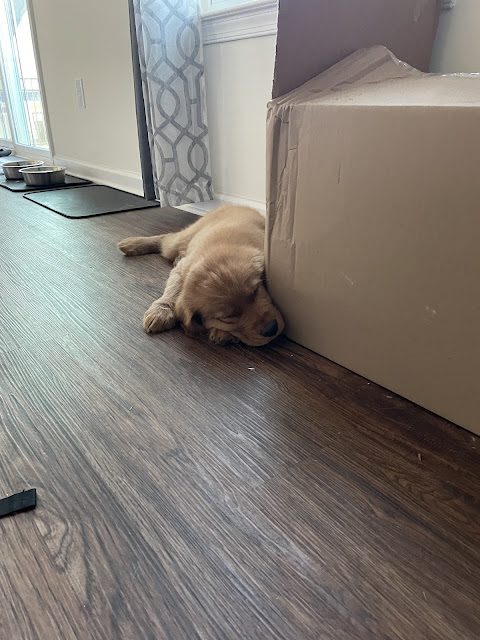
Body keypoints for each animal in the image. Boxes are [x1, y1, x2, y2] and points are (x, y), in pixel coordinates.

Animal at [117, 204, 284, 344]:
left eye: (256, 291)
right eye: (227, 316)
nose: (271, 328)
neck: (218, 250)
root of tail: (233, 204)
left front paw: (221, 333)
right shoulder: (182, 269)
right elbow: (173, 288)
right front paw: (161, 310)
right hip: (181, 239)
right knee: (166, 238)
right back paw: (131, 244)